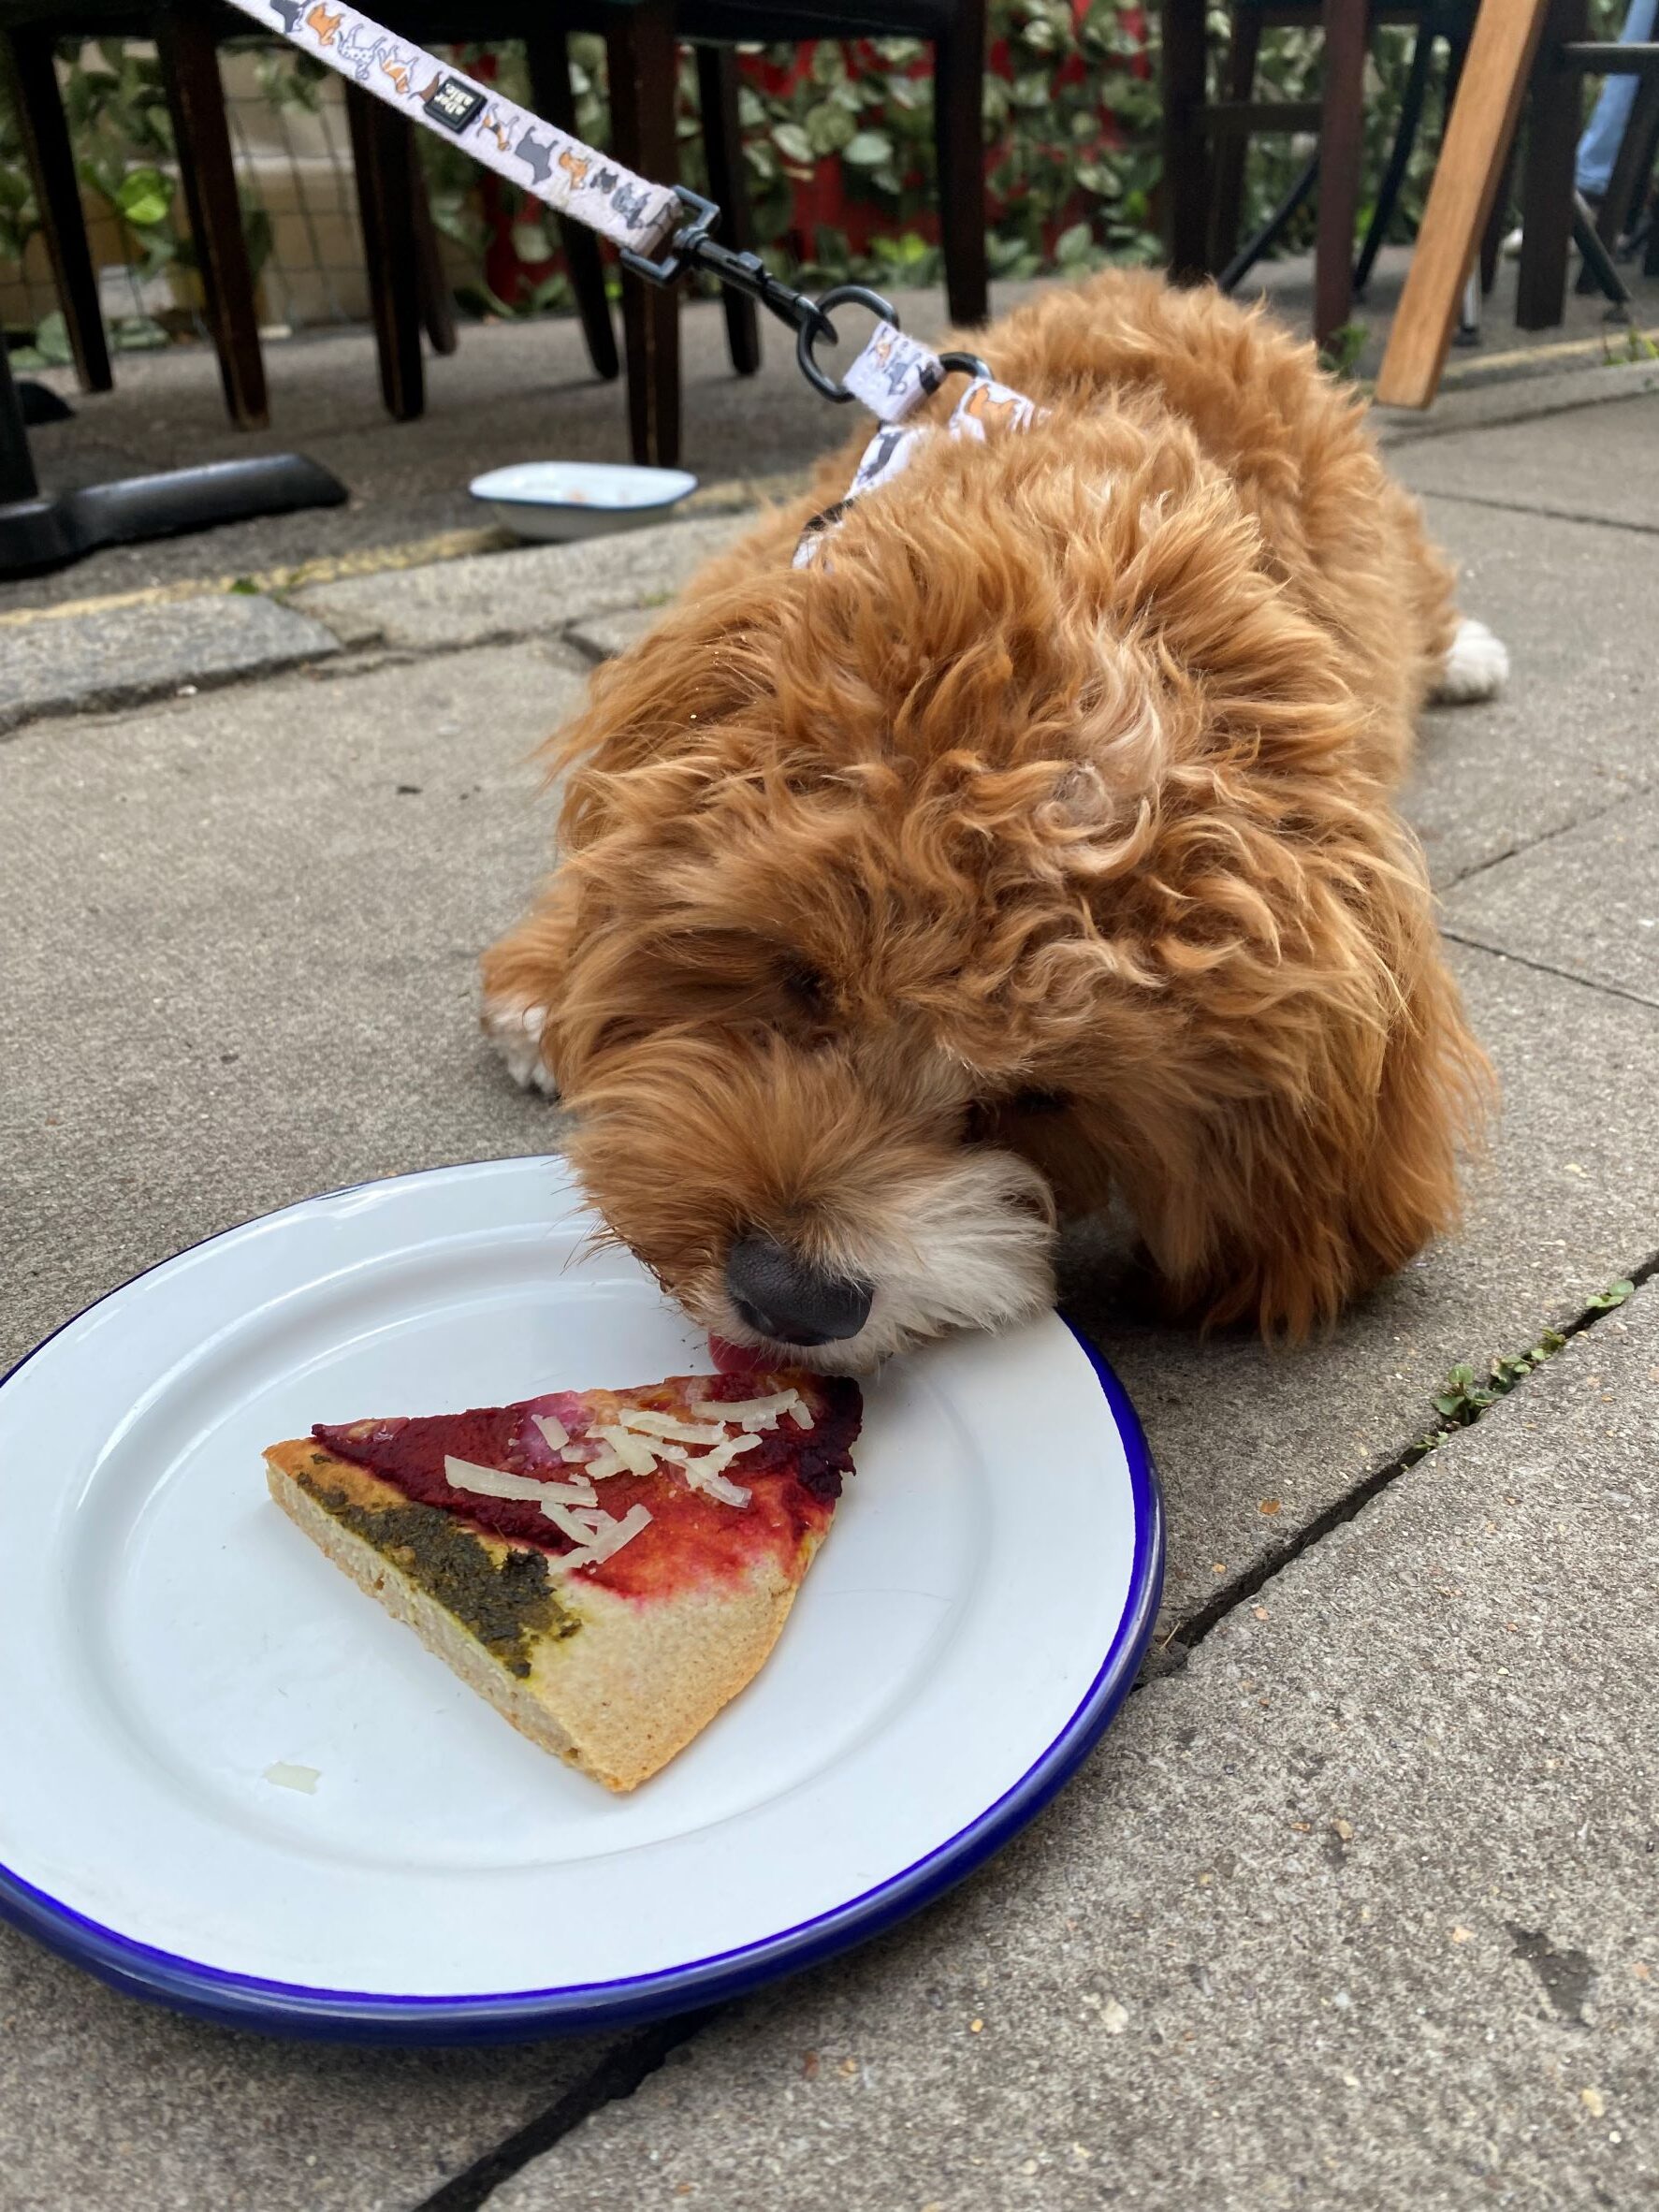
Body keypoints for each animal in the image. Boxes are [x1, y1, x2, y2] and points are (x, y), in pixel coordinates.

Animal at [479, 271, 1504, 1362]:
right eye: (803, 979)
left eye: (1041, 1098)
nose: (792, 1298)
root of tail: (1189, 296)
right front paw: (546, 983)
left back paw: (1464, 654)